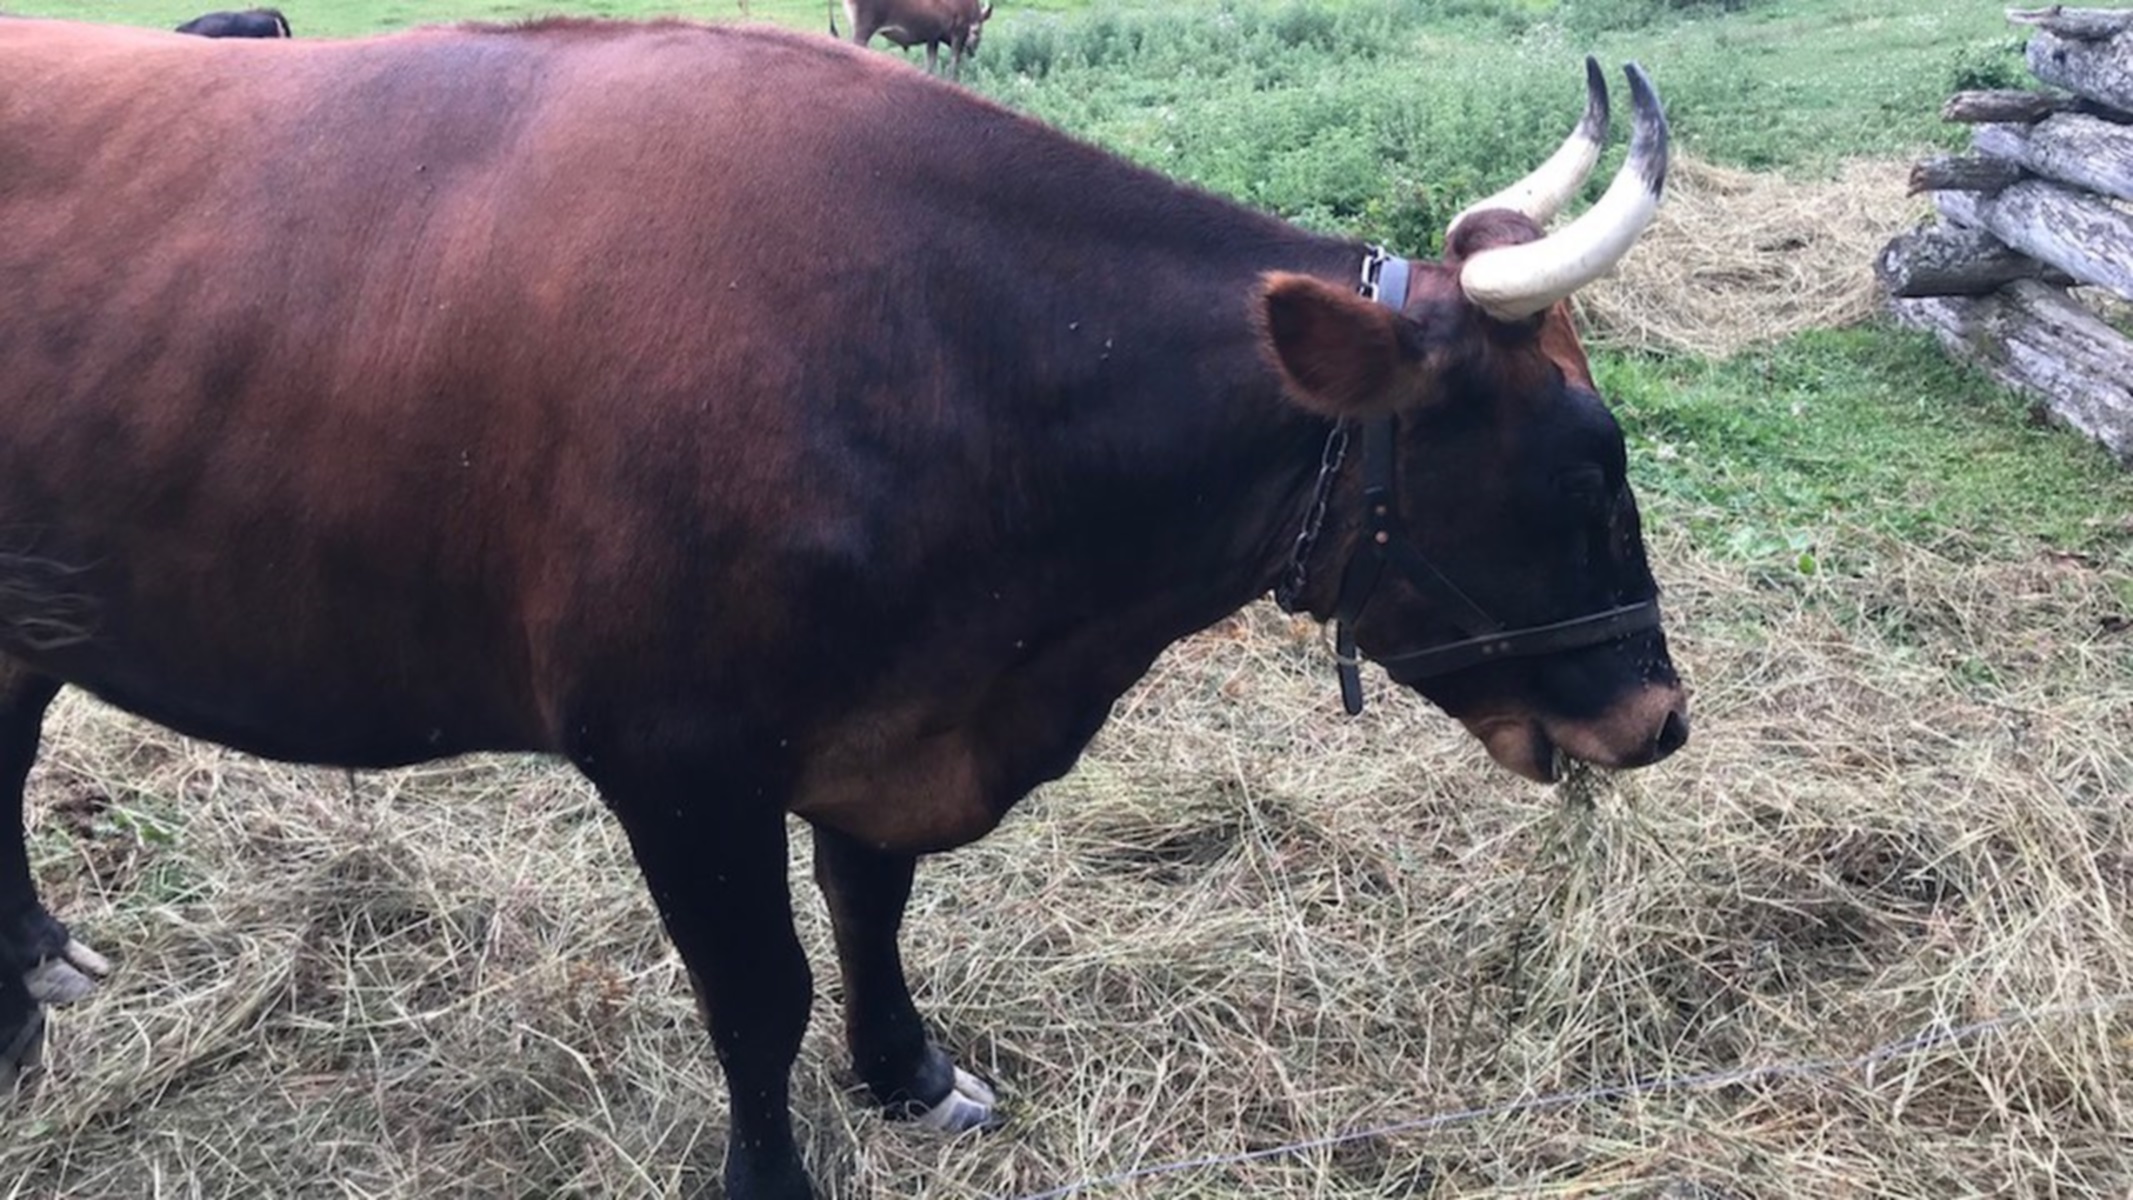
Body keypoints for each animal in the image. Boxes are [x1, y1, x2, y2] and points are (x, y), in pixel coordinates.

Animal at [0, 21, 1689, 1200]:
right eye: (1575, 470)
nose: (1659, 718)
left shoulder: (895, 716)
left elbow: (870, 908)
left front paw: (909, 1073)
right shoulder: (678, 759)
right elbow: (758, 994)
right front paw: (775, 1171)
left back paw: (34, 970)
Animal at [836, 0, 993, 78]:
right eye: (980, 31)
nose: (972, 52)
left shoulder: (933, 38)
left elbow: (931, 62)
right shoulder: (958, 32)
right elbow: (953, 61)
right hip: (863, 32)